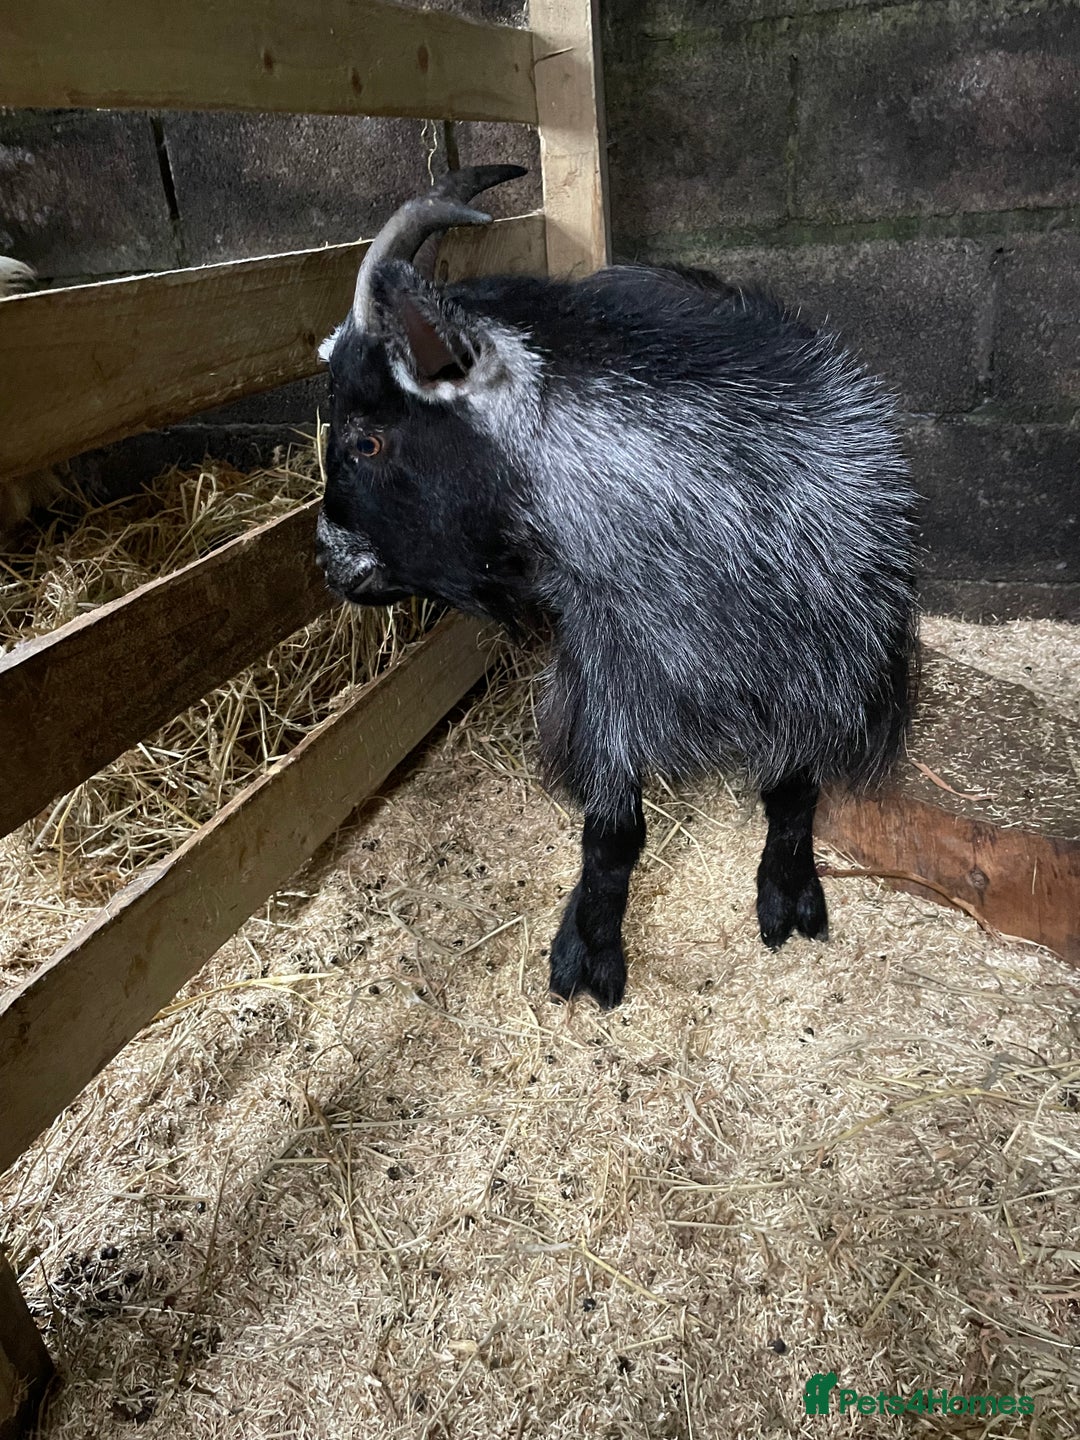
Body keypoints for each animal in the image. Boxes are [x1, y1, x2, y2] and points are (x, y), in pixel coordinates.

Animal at [314, 166, 918, 1009]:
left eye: (367, 439)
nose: (329, 560)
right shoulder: (606, 678)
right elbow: (613, 833)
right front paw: (589, 948)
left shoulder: (824, 668)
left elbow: (796, 791)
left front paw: (789, 892)